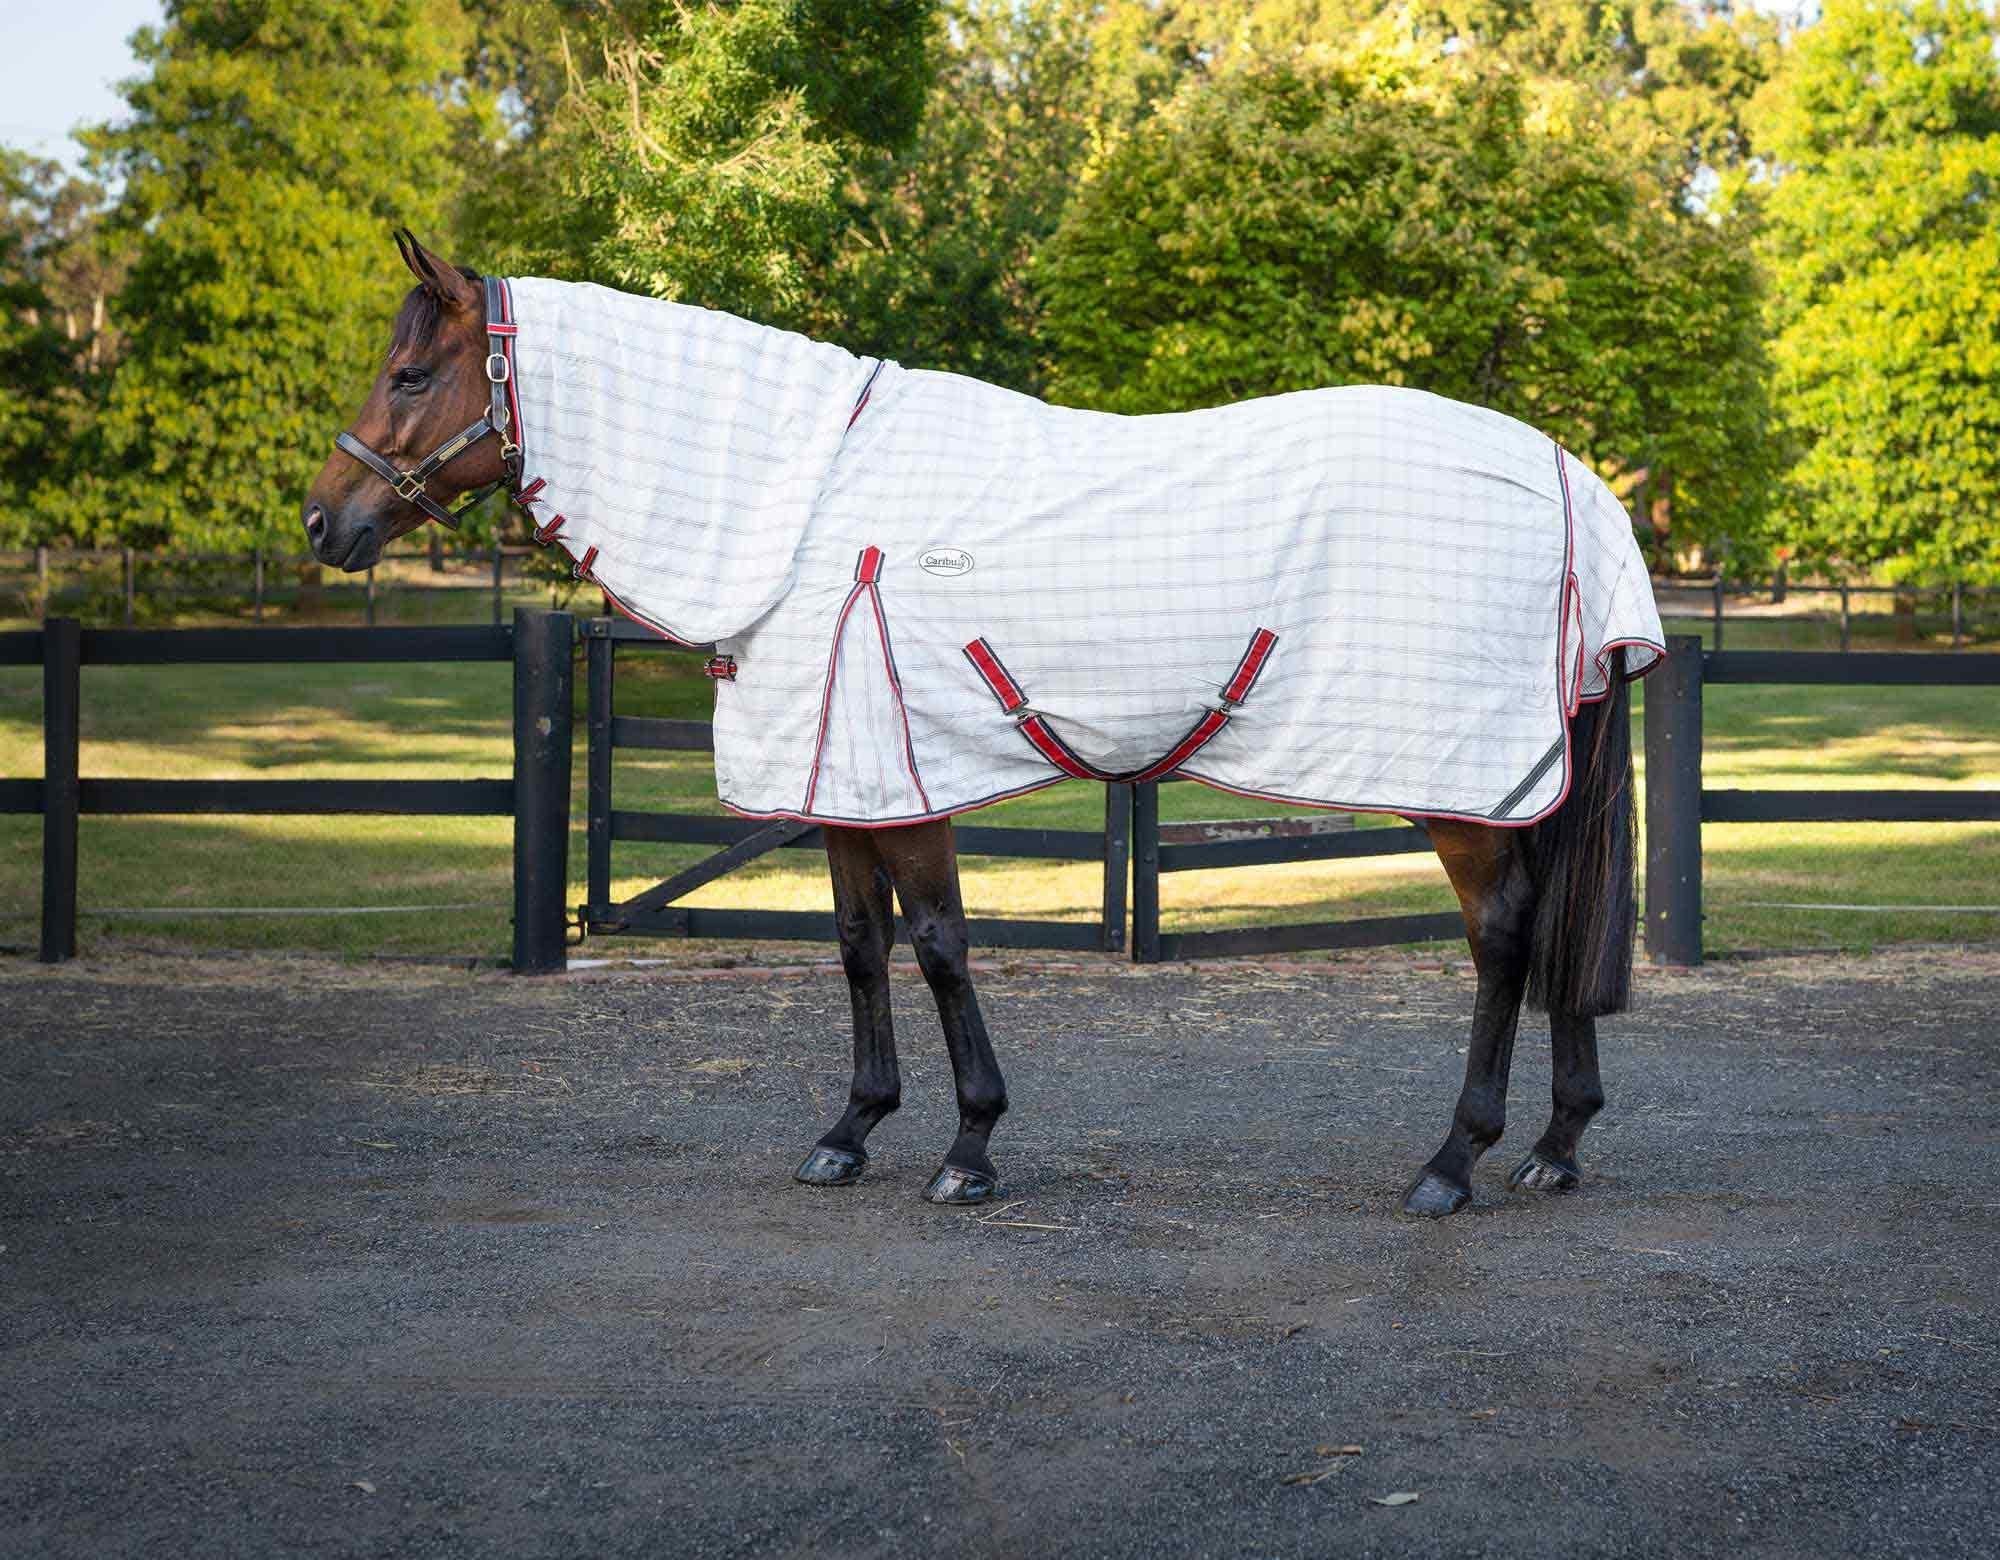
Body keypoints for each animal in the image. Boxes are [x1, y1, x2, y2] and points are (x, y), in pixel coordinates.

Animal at [304, 231, 1661, 1220]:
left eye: (410, 376)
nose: (325, 523)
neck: (802, 508)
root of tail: (1567, 478)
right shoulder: (843, 784)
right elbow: (860, 947)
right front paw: (850, 1130)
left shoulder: (907, 785)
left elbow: (942, 947)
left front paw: (969, 1147)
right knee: (1554, 925)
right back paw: (1554, 1146)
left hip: (1461, 789)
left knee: (1501, 937)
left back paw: (1453, 1160)